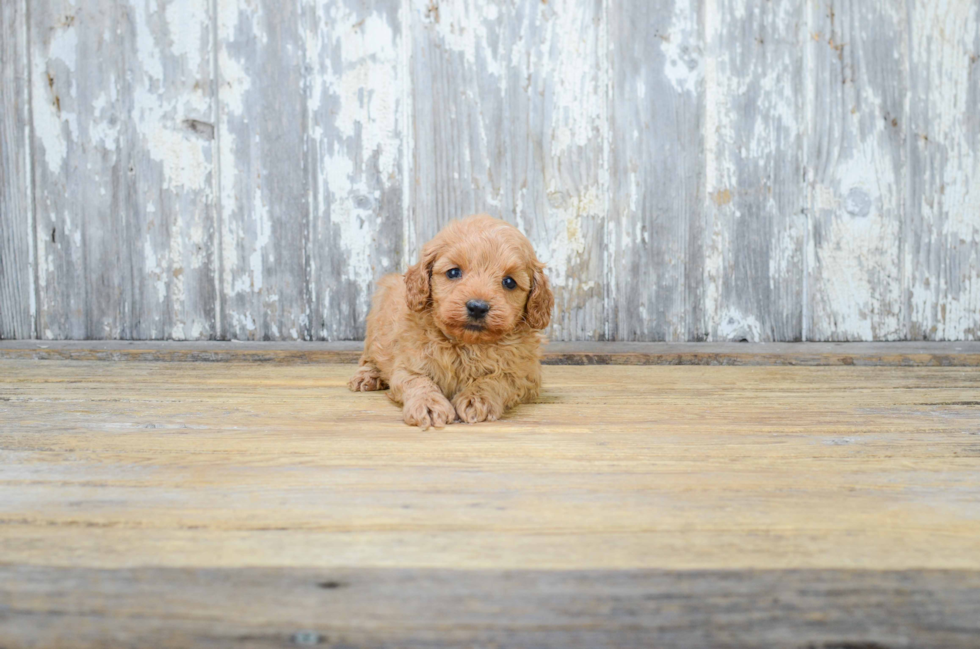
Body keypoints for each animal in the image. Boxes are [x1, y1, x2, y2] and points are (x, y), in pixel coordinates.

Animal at [350, 213, 552, 428]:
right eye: (453, 272)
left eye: (509, 282)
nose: (477, 307)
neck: (466, 345)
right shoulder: (408, 364)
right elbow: (417, 381)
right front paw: (428, 404)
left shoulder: (525, 374)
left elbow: (499, 380)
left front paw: (476, 398)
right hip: (375, 328)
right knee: (369, 357)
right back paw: (367, 376)